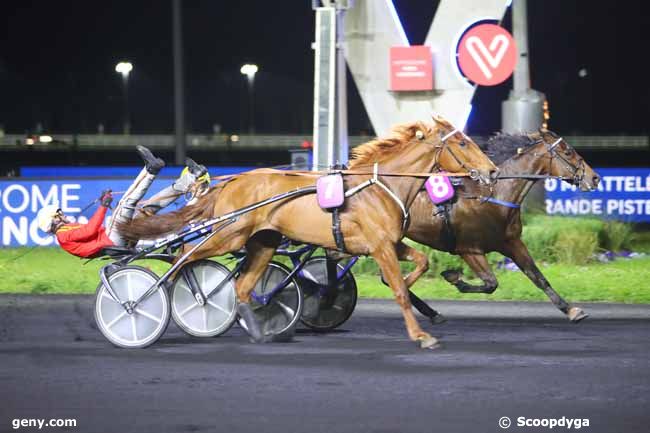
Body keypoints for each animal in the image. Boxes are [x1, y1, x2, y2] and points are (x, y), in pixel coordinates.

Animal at [120, 117, 496, 348]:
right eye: (463, 143)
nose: (492, 171)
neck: (380, 187)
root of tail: (232, 181)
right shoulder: (380, 247)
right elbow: (401, 292)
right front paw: (421, 335)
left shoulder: (389, 244)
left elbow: (419, 263)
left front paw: (427, 297)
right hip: (230, 234)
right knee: (184, 257)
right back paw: (145, 297)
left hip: (264, 243)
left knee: (242, 287)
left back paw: (261, 332)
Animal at [392, 130, 600, 322]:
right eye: (568, 152)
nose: (595, 178)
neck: (493, 197)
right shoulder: (469, 249)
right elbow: (491, 283)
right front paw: (453, 277)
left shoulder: (512, 243)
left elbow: (538, 277)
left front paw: (571, 310)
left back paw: (431, 312)